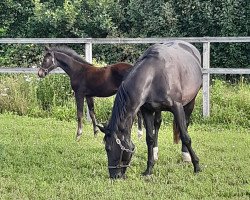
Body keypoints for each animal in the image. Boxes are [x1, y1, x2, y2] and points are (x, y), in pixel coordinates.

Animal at [97, 40, 203, 178]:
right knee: (157, 124)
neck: (154, 75)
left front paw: (197, 166)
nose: (114, 176)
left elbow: (185, 136)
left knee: (186, 124)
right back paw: (156, 153)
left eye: (108, 148)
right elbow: (150, 138)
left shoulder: (177, 107)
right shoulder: (147, 111)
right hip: (157, 109)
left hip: (191, 101)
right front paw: (148, 169)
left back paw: (186, 155)